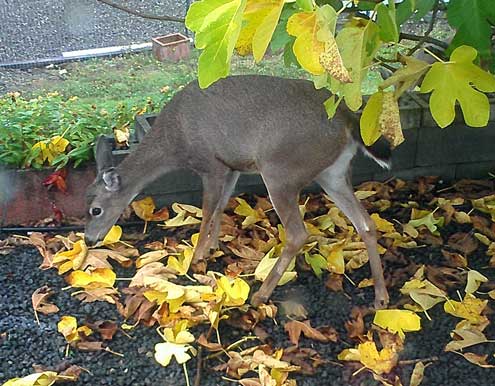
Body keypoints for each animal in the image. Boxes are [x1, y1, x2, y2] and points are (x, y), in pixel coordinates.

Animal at [86, 76, 396, 310]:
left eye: (95, 209)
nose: (89, 239)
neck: (175, 141)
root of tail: (347, 118)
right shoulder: (232, 165)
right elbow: (222, 204)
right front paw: (212, 247)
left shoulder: (210, 164)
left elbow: (207, 210)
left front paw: (196, 258)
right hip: (333, 173)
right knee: (366, 224)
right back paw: (381, 297)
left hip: (281, 170)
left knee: (298, 234)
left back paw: (261, 294)